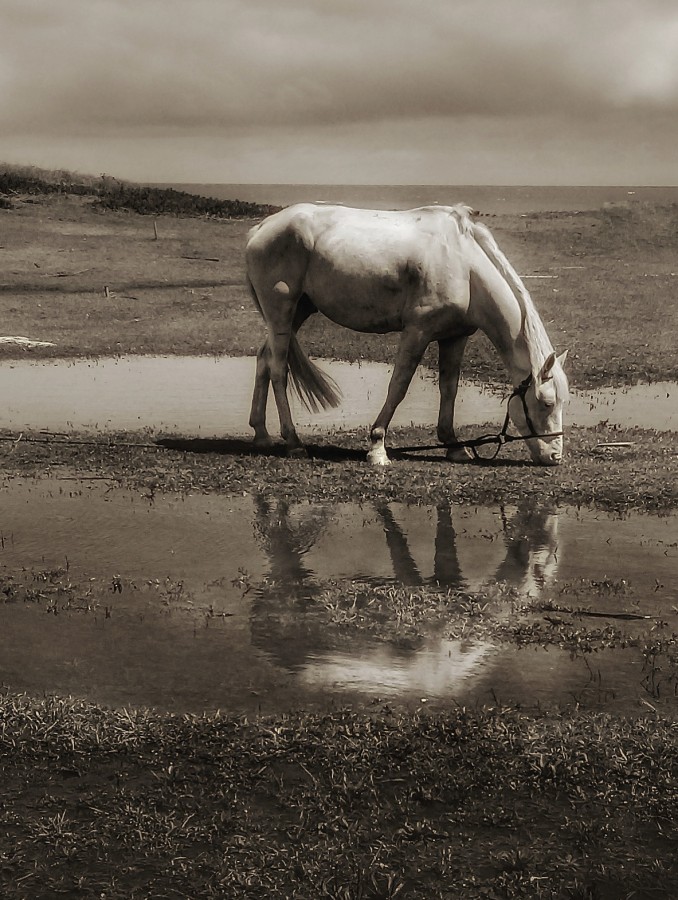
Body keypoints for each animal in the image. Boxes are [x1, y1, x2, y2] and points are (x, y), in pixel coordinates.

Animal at [244, 205, 568, 468]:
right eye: (546, 403)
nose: (555, 457)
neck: (465, 266)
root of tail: (262, 228)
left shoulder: (455, 337)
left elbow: (449, 389)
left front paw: (454, 446)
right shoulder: (417, 332)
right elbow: (398, 385)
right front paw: (377, 448)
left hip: (297, 313)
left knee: (264, 359)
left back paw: (261, 435)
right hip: (282, 311)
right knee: (278, 370)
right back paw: (293, 442)